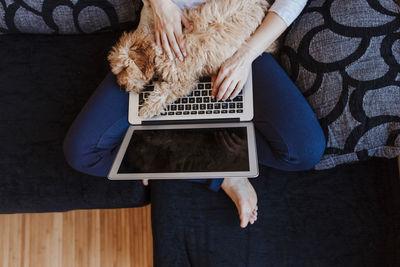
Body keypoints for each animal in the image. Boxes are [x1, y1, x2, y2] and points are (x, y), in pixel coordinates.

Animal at [109, 0, 278, 118]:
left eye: (124, 68)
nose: (121, 86)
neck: (158, 50)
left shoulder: (184, 81)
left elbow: (163, 93)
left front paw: (146, 109)